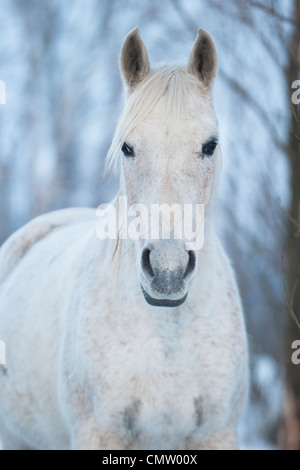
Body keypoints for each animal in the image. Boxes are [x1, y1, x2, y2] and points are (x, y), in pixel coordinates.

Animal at [0, 27, 247, 450]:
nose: (167, 269)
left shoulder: (216, 434)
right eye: (127, 147)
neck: (168, 334)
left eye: (210, 145)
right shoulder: (99, 433)